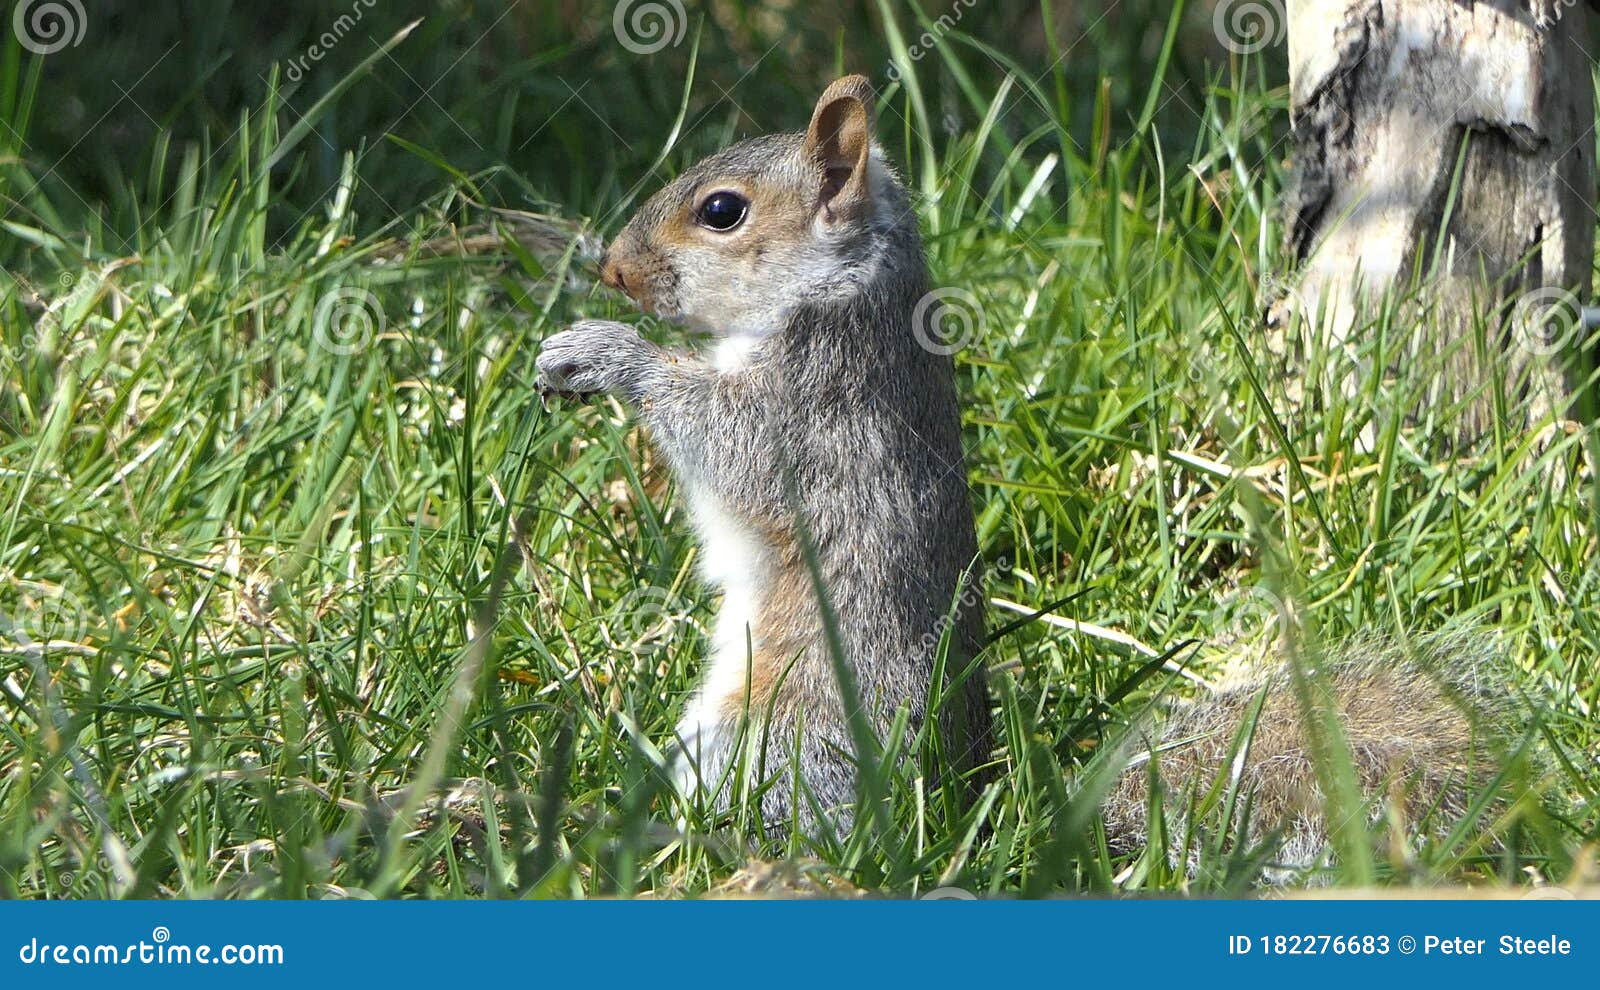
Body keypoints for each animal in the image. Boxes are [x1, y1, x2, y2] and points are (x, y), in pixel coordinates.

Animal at [537, 76, 1532, 869]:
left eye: (722, 211)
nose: (613, 270)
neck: (834, 293)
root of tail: (971, 796)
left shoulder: (811, 412)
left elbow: (728, 440)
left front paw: (607, 354)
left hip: (783, 733)